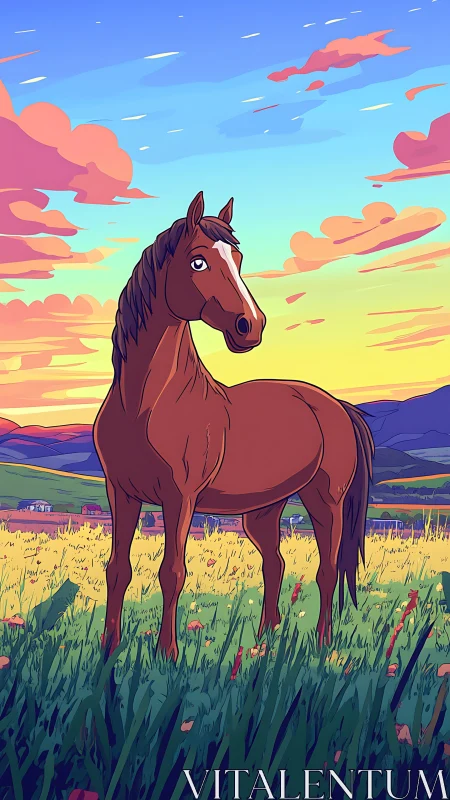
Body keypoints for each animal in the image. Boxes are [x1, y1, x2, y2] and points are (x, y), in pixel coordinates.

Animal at [94, 191, 374, 661]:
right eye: (199, 261)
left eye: (239, 259)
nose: (252, 326)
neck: (146, 403)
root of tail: (334, 404)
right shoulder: (121, 493)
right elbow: (118, 569)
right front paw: (108, 650)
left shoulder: (180, 498)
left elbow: (172, 572)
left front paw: (167, 654)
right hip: (263, 511)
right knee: (275, 563)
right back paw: (265, 638)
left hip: (325, 501)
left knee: (328, 569)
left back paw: (322, 645)